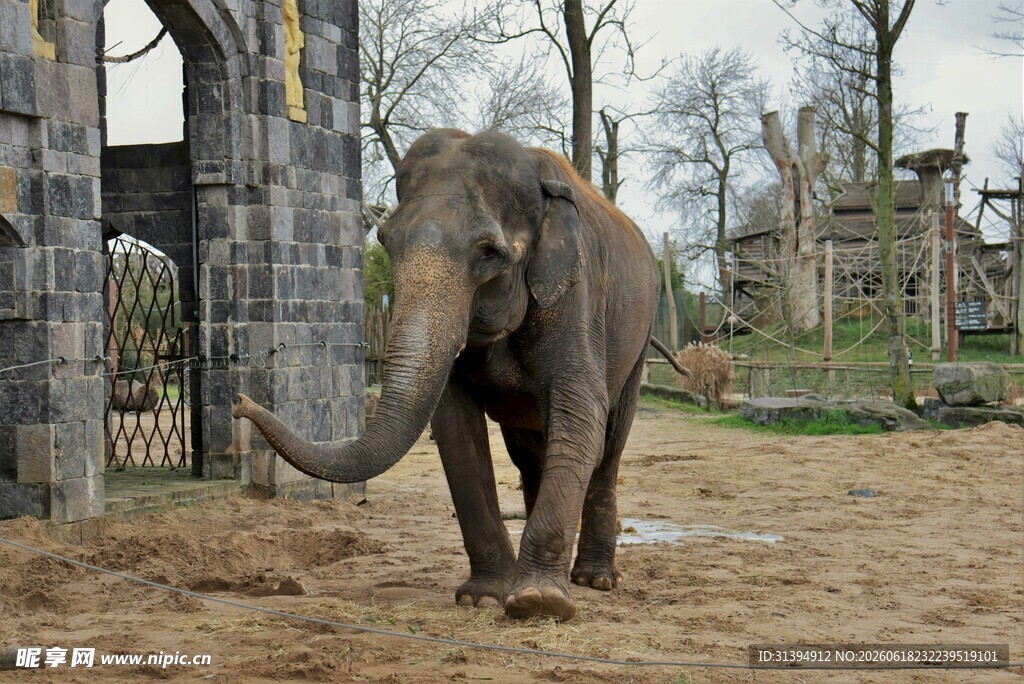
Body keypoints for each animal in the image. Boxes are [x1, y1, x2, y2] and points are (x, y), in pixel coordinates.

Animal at [233, 129, 667, 621]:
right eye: (385, 240)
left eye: (490, 253)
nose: (240, 401)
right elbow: (455, 427)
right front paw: (485, 598)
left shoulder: (577, 296)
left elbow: (579, 410)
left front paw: (539, 602)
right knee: (529, 451)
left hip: (639, 339)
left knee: (609, 445)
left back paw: (595, 580)